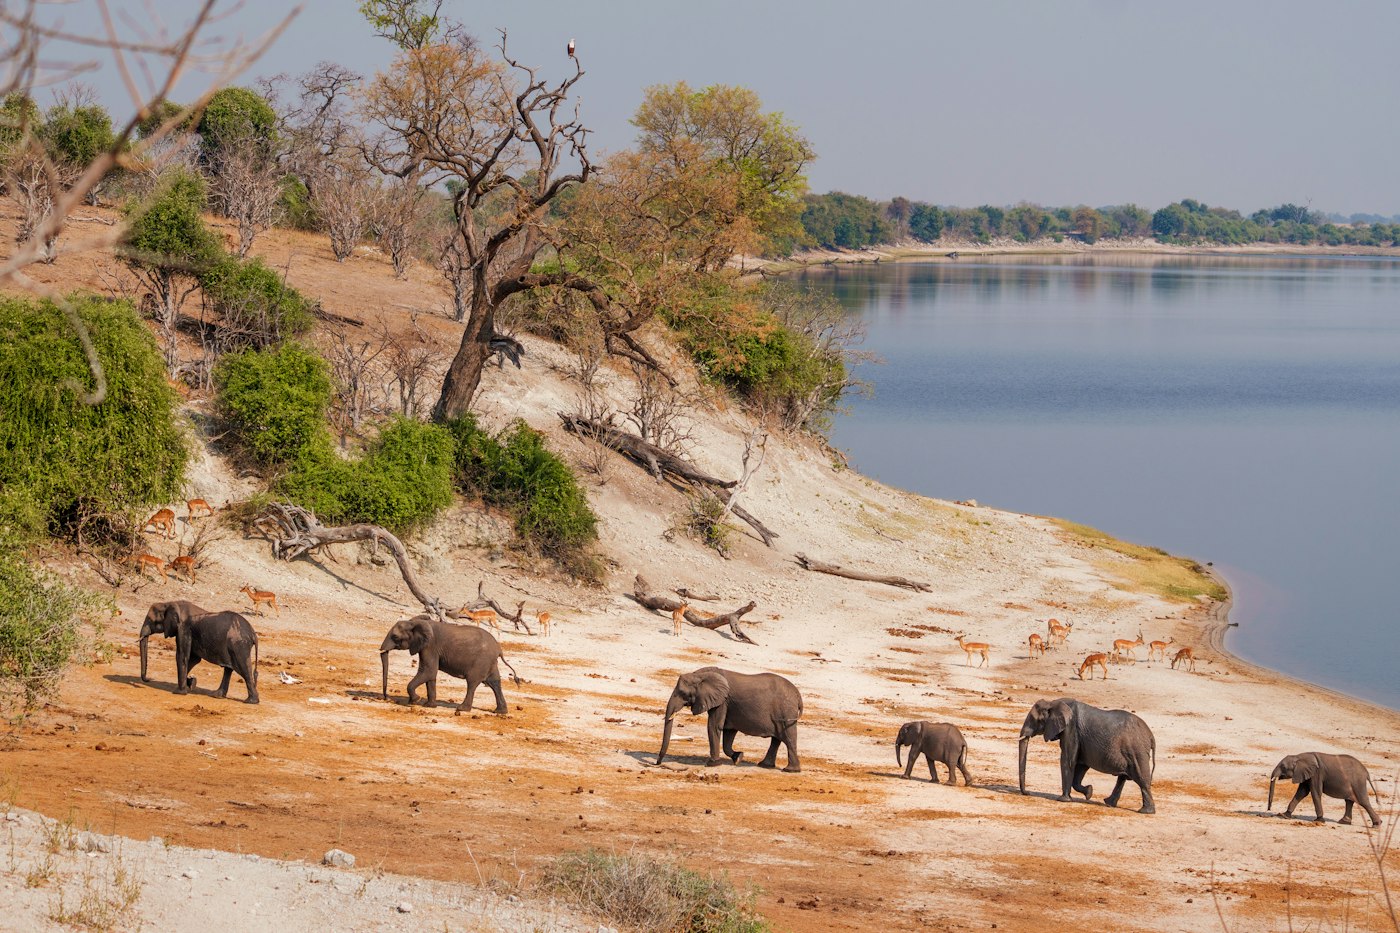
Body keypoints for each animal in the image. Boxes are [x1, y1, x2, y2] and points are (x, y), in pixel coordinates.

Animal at [379, 615, 520, 715]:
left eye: (395, 637)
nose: (386, 698)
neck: (414, 622)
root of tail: (499, 649)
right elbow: (430, 675)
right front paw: (429, 706)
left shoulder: (430, 646)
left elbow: (428, 671)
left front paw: (415, 700)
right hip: (489, 662)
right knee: (494, 682)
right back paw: (500, 712)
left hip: (481, 661)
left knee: (472, 682)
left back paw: (462, 709)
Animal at [656, 667, 803, 772]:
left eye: (682, 693)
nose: (658, 763)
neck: (700, 674)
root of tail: (798, 695)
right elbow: (728, 731)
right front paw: (738, 757)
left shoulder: (722, 701)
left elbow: (714, 726)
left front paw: (712, 764)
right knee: (777, 739)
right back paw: (765, 765)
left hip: (786, 711)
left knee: (788, 738)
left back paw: (790, 770)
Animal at [1018, 697, 1155, 813]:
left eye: (1035, 720)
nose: (1027, 792)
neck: (1053, 702)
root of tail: (1151, 736)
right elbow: (1080, 766)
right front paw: (1089, 792)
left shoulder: (1071, 730)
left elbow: (1068, 760)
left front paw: (1063, 800)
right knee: (1123, 778)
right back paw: (1109, 803)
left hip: (1137, 751)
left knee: (1141, 778)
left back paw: (1145, 811)